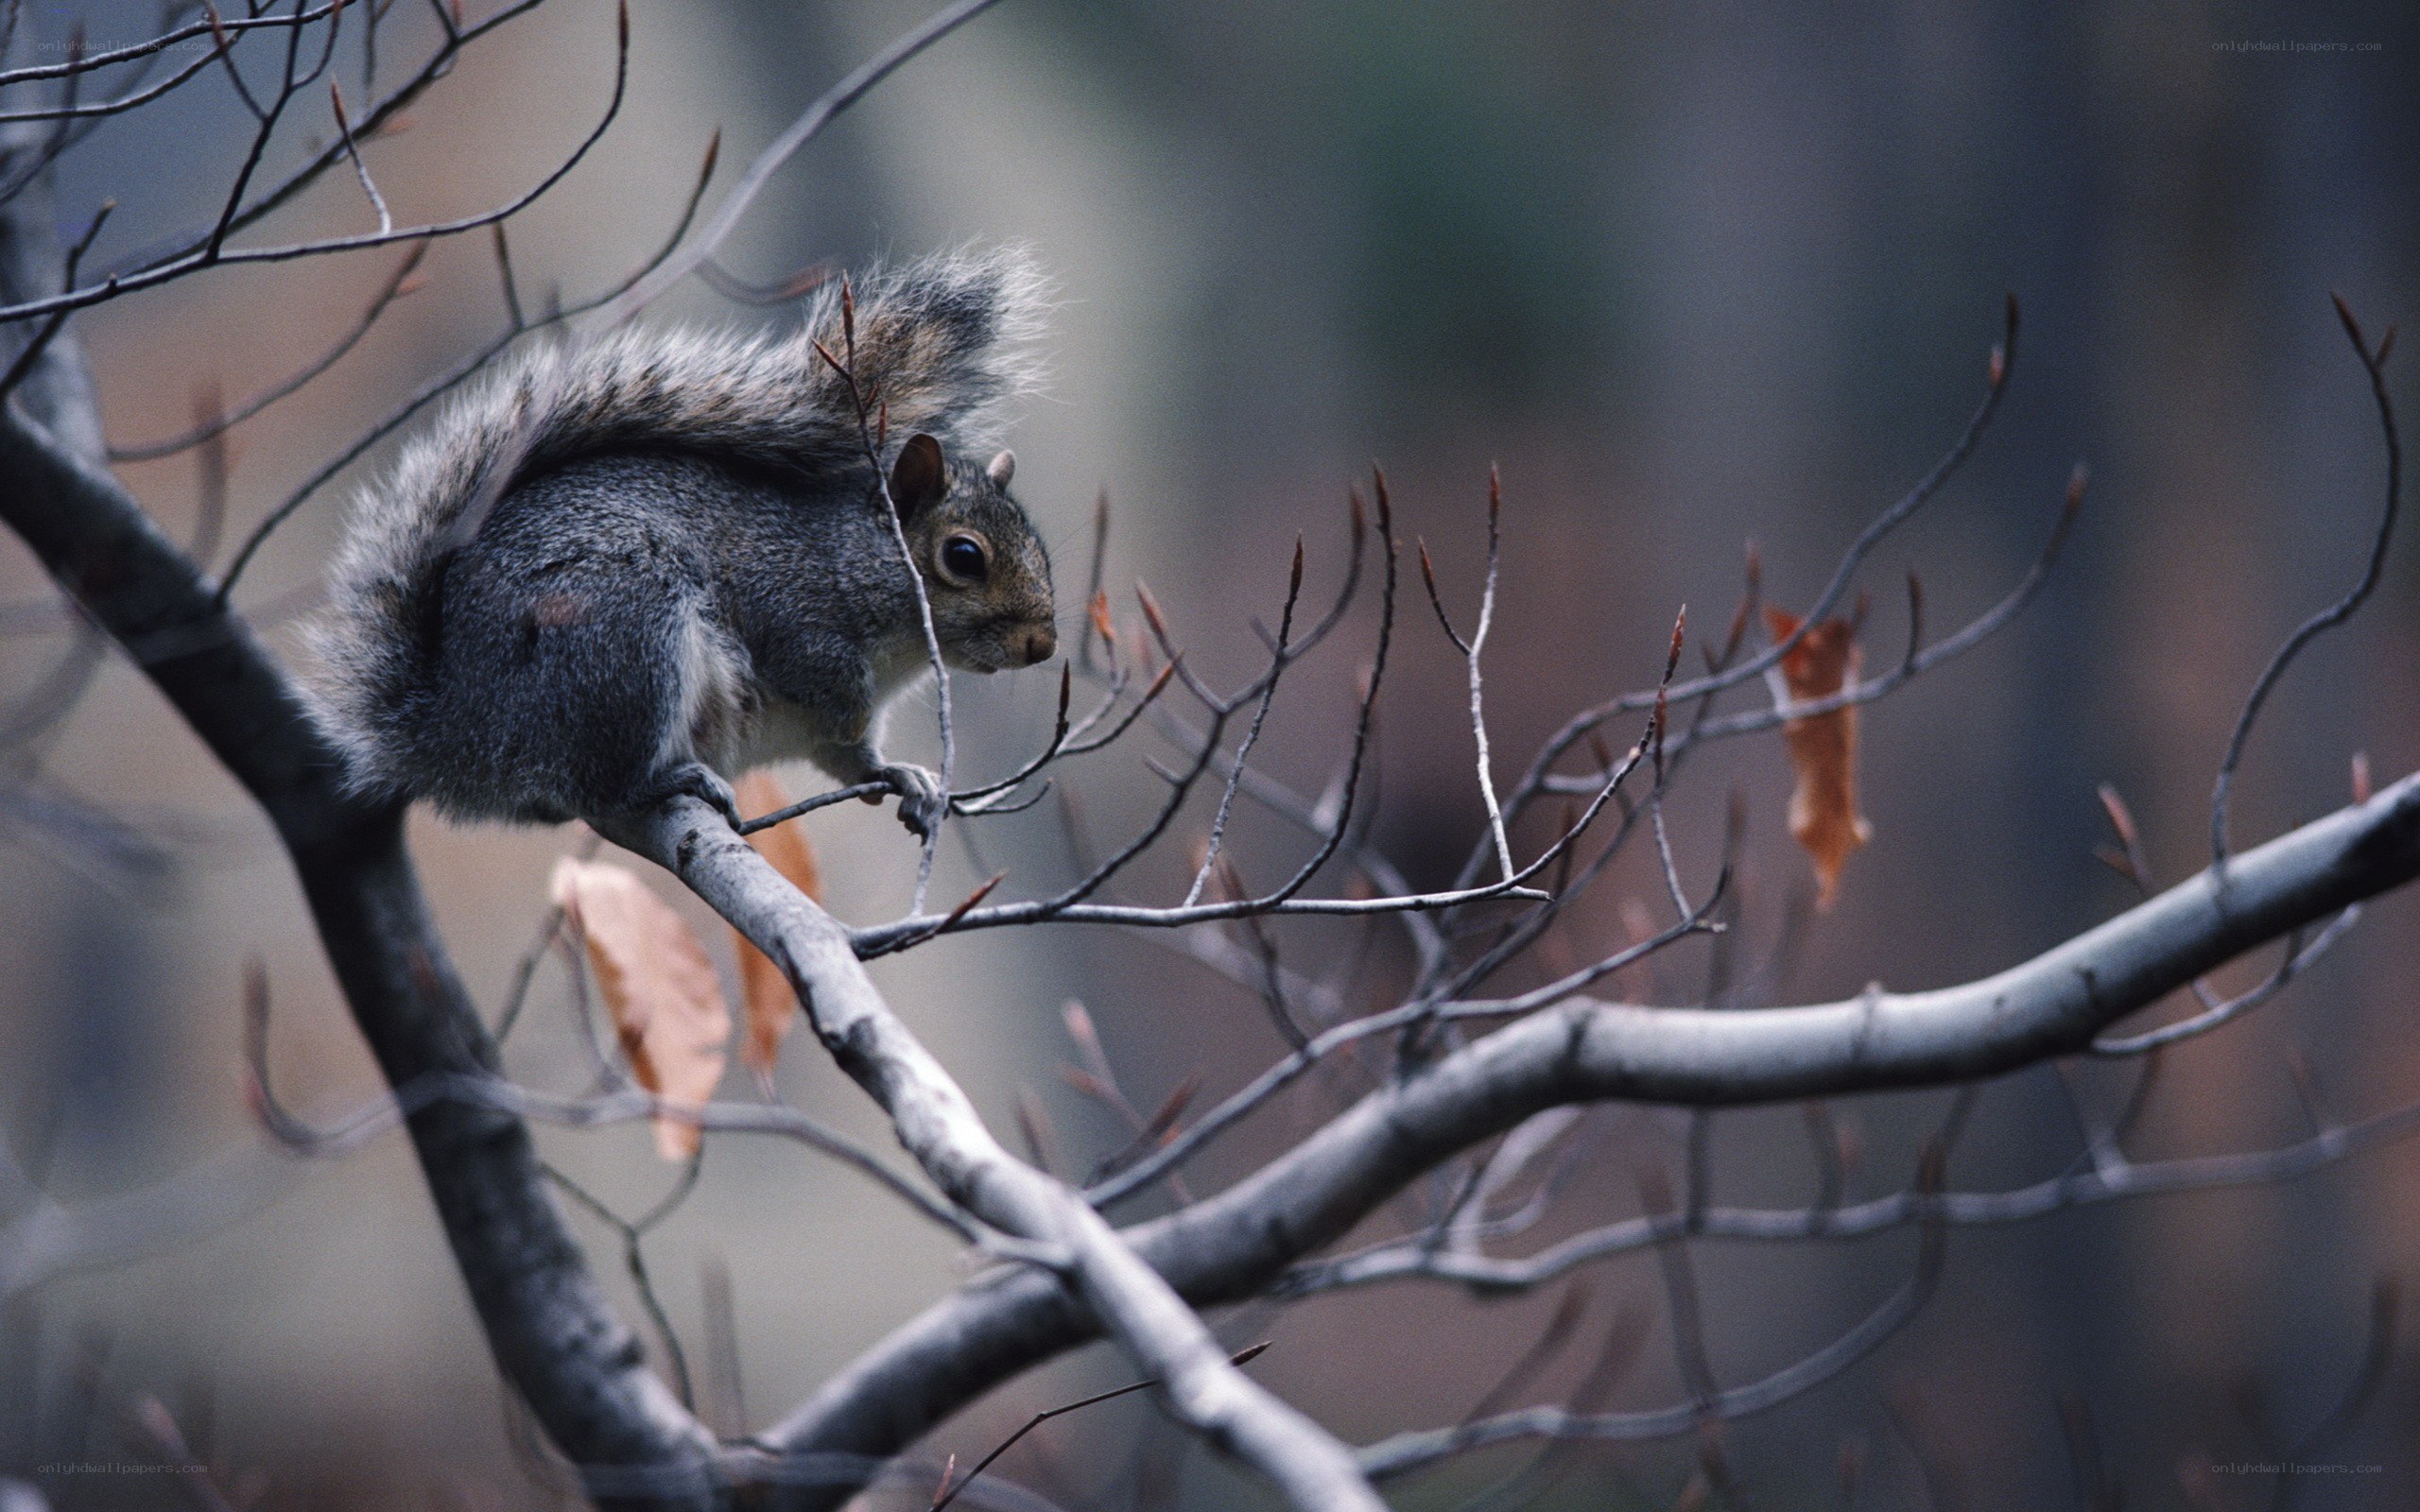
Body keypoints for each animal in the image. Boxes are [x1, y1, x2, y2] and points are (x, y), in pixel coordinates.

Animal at [304, 248, 1057, 838]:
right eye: (964, 557)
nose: (1043, 647)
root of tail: (458, 730)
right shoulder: (793, 607)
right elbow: (813, 674)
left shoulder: (830, 733)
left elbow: (851, 760)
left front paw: (904, 777)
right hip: (624, 635)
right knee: (596, 782)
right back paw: (667, 782)